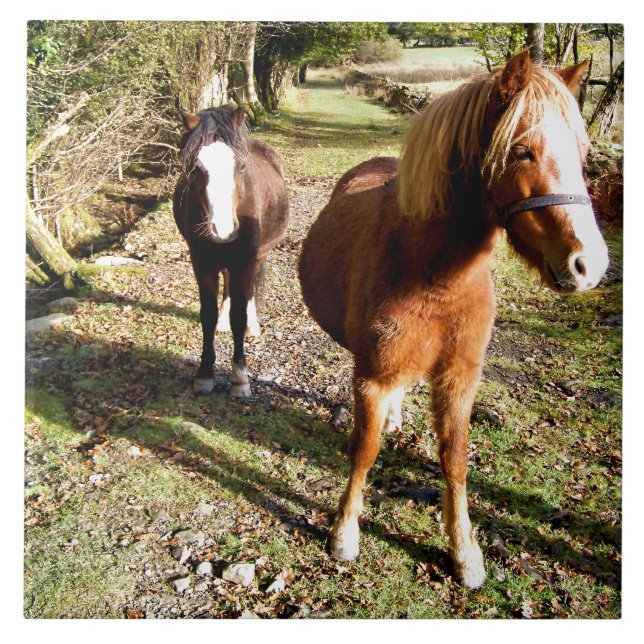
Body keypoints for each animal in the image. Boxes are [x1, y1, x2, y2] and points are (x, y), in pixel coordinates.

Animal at [173, 105, 289, 397]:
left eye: (241, 166)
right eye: (196, 168)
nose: (223, 229)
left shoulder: (245, 262)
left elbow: (239, 313)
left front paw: (240, 379)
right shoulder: (202, 263)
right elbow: (208, 314)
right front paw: (204, 375)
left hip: (256, 257)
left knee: (248, 292)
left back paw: (252, 325)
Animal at [298, 50, 609, 589]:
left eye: (583, 151)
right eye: (522, 151)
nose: (589, 265)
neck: (434, 274)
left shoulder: (460, 379)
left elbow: (456, 459)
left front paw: (464, 551)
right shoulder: (372, 378)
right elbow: (365, 450)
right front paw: (344, 533)